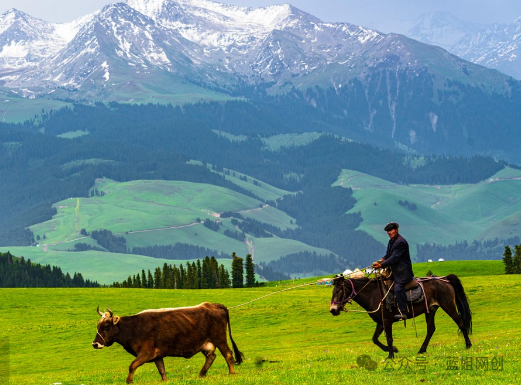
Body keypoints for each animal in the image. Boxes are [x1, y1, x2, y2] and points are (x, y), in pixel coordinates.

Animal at [93, 304, 244, 380]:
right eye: (97, 327)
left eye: (106, 326)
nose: (95, 344)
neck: (133, 328)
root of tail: (211, 305)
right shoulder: (157, 355)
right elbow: (162, 370)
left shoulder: (146, 352)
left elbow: (132, 366)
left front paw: (128, 381)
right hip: (205, 343)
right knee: (211, 356)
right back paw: (201, 375)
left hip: (219, 338)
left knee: (228, 353)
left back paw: (231, 374)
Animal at [330, 272, 472, 356]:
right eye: (333, 291)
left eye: (339, 290)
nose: (333, 310)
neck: (373, 294)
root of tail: (445, 279)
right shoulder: (380, 322)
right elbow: (375, 339)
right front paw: (393, 350)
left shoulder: (387, 321)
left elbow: (389, 338)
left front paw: (390, 355)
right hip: (430, 310)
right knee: (431, 329)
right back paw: (421, 350)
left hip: (448, 306)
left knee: (460, 322)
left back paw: (468, 345)